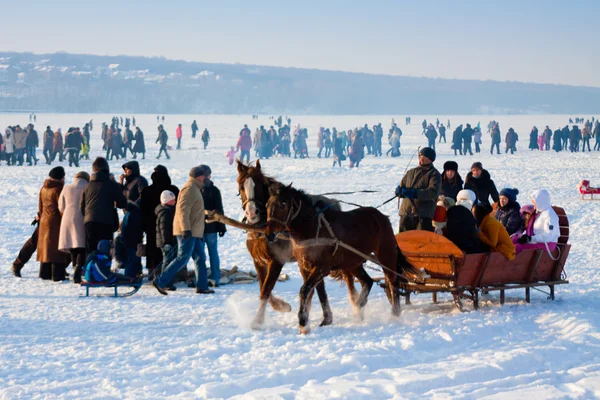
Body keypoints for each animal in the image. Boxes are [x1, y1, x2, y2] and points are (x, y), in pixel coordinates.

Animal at [237, 161, 368, 330]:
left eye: (260, 185)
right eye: (241, 186)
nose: (252, 212)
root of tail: (334, 203)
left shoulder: (276, 261)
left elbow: (266, 289)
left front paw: (258, 321)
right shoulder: (258, 261)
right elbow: (263, 288)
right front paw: (281, 306)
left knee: (347, 280)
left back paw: (356, 308)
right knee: (319, 286)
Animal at [264, 183, 414, 332]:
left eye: (283, 204)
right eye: (267, 205)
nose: (269, 235)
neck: (312, 229)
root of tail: (381, 217)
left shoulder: (321, 267)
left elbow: (305, 290)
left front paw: (303, 321)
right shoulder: (305, 266)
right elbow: (317, 292)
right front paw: (322, 320)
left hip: (386, 255)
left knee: (392, 282)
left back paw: (394, 314)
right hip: (353, 262)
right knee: (368, 281)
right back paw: (359, 306)